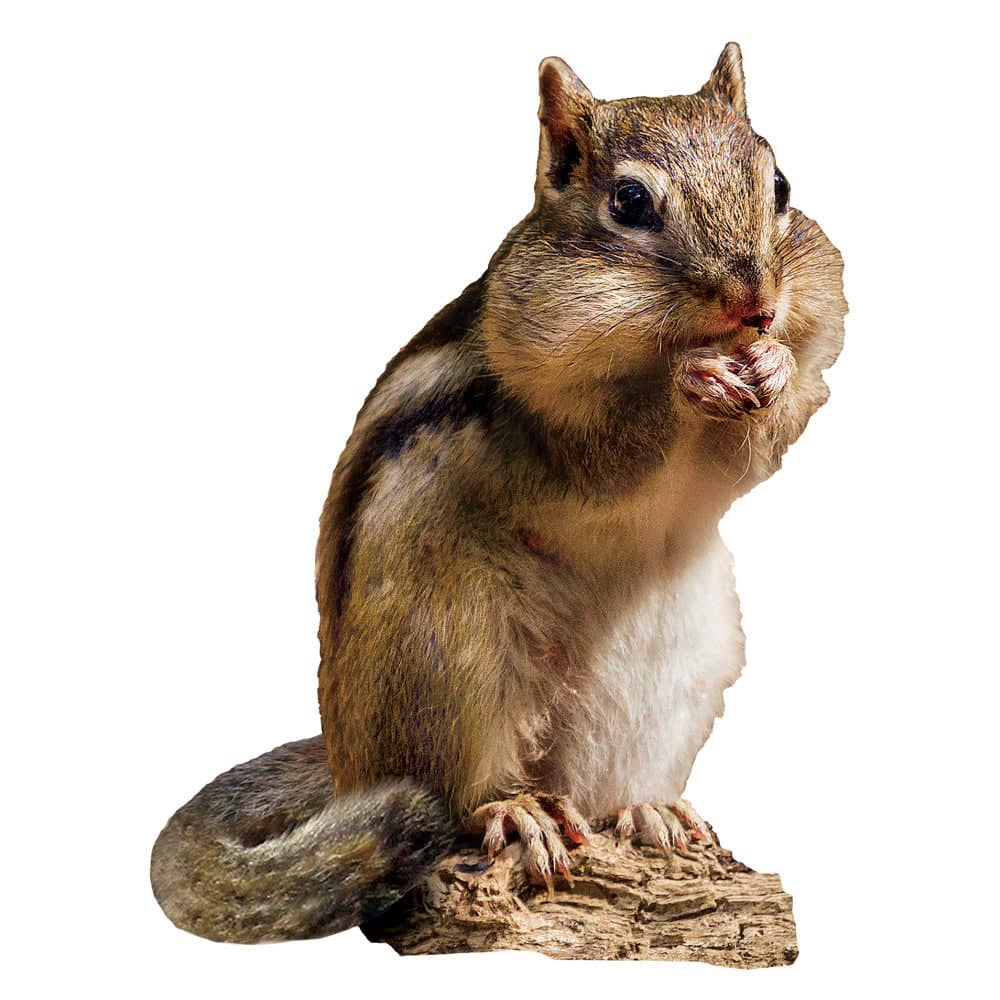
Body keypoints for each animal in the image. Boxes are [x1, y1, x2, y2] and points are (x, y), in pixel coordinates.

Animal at [151, 42, 846, 944]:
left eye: (782, 186)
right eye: (629, 202)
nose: (756, 305)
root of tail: (344, 765)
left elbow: (770, 437)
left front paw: (772, 366)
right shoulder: (540, 416)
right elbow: (608, 454)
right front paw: (687, 376)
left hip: (670, 667)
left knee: (600, 791)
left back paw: (647, 810)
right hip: (446, 650)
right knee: (457, 791)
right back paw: (514, 810)